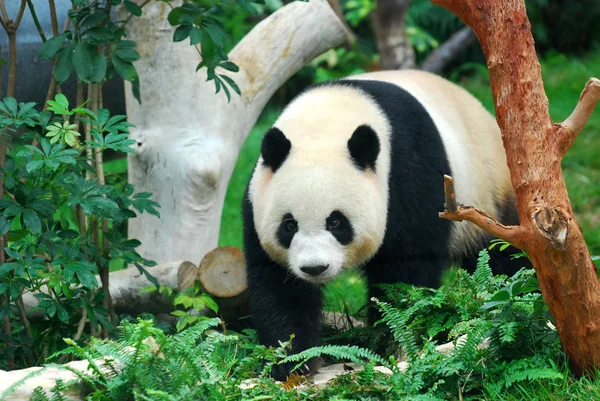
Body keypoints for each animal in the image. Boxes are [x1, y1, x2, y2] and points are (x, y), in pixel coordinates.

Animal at [241, 69, 524, 378]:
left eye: (336, 222)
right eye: (289, 225)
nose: (315, 268)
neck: (325, 123)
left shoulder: (407, 172)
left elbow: (405, 273)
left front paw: (391, 343)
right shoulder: (257, 199)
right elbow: (279, 287)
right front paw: (292, 363)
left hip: (488, 193)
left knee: (503, 255)